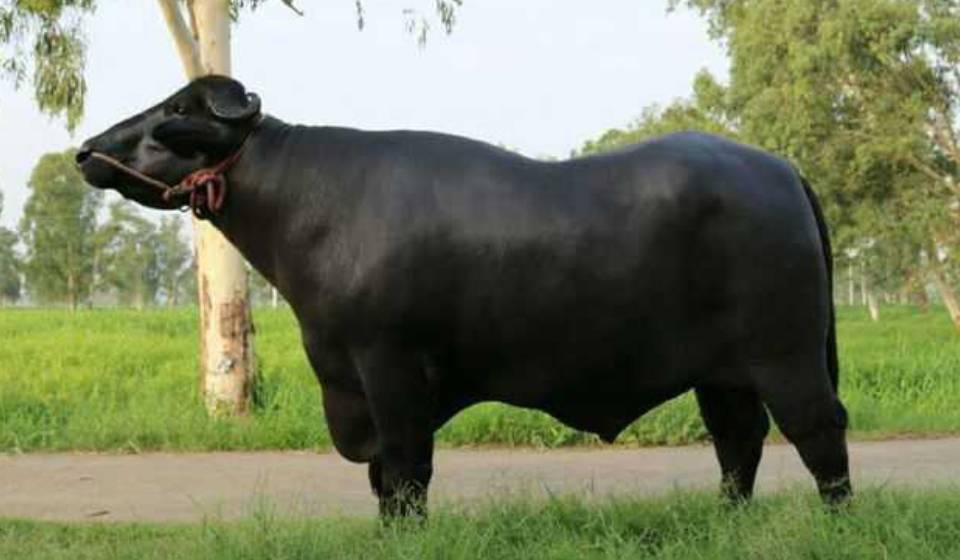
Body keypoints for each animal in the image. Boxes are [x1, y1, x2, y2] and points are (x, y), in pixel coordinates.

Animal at [77, 76, 851, 517]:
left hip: (787, 356)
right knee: (737, 442)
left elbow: (403, 471)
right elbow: (384, 477)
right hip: (721, 375)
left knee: (819, 434)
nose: (87, 150)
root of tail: (778, 168)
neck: (311, 207)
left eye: (177, 111)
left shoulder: (390, 370)